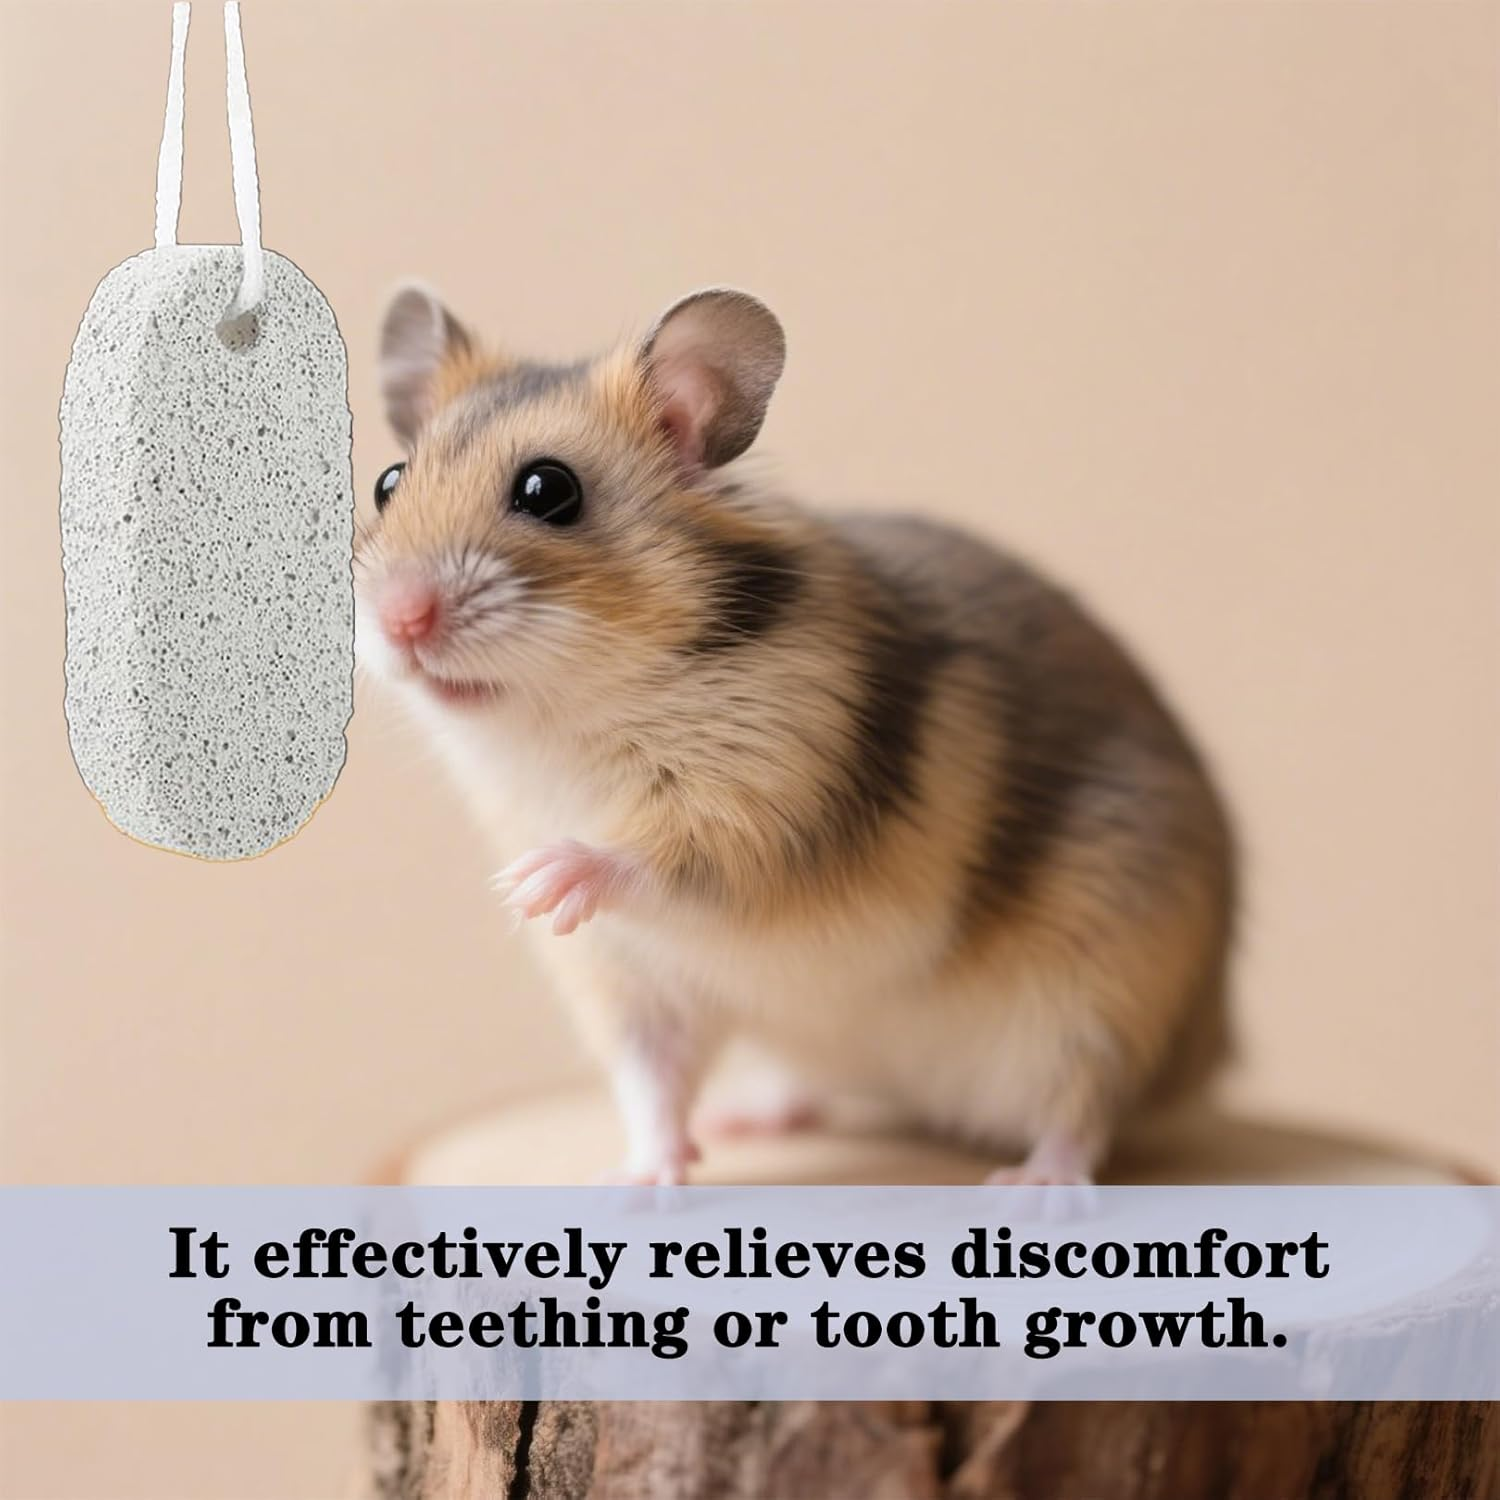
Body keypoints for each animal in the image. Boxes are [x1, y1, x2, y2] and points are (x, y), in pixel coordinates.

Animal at [354, 284, 1235, 1186]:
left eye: (547, 490)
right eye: (389, 482)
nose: (398, 620)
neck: (565, 723)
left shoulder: (767, 812)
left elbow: (657, 860)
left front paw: (538, 883)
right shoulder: (630, 982)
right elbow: (652, 1085)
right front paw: (638, 1182)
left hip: (1104, 989)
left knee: (1083, 1111)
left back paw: (1032, 1189)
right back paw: (748, 1120)